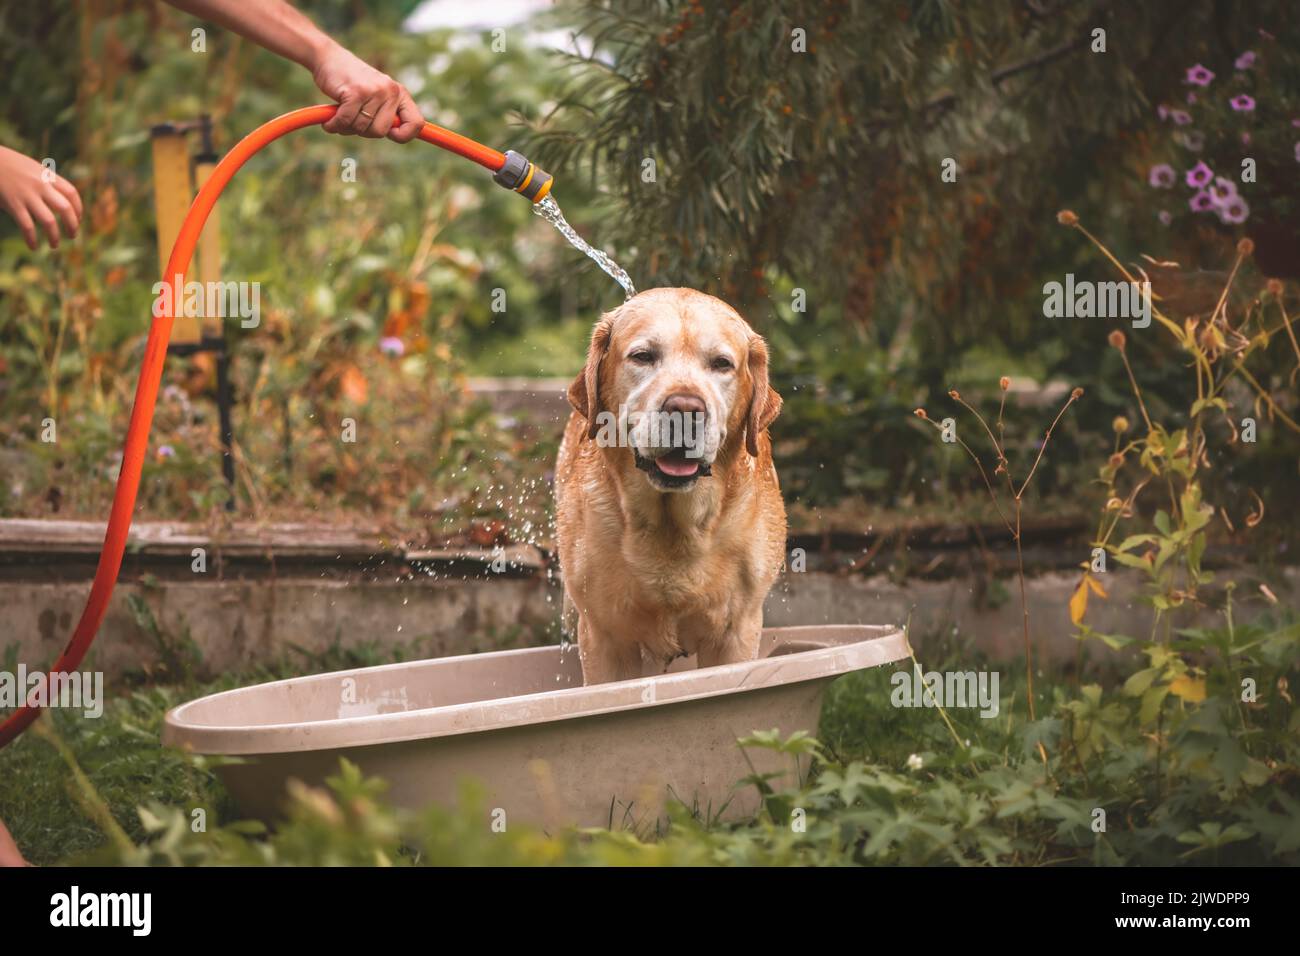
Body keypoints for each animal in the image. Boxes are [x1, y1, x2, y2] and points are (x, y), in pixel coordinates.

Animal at [556, 287, 785, 686]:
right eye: (643, 356)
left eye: (722, 364)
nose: (685, 408)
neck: (673, 525)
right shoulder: (605, 637)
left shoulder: (737, 632)